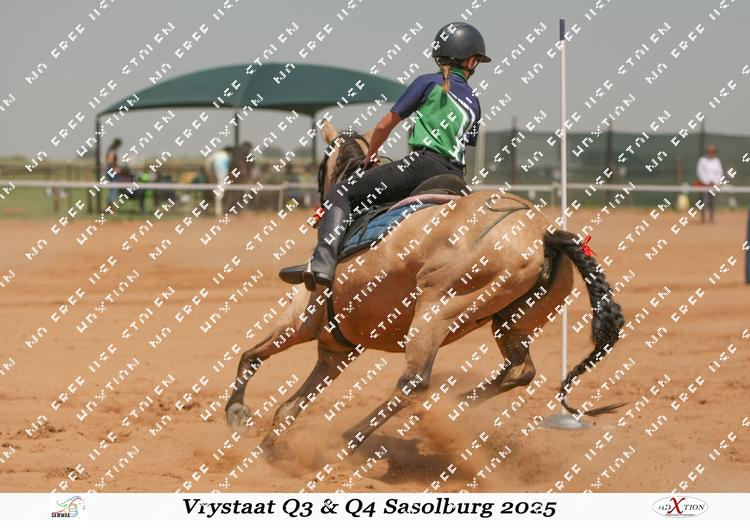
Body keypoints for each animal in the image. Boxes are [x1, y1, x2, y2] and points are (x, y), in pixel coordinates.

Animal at [225, 120, 625, 451]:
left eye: (322, 165)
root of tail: (546, 234)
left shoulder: (301, 320)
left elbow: (251, 355)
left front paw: (236, 413)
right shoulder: (335, 349)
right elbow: (287, 407)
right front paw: (267, 447)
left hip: (436, 308)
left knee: (413, 382)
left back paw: (355, 435)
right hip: (512, 323)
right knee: (519, 370)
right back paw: (457, 406)